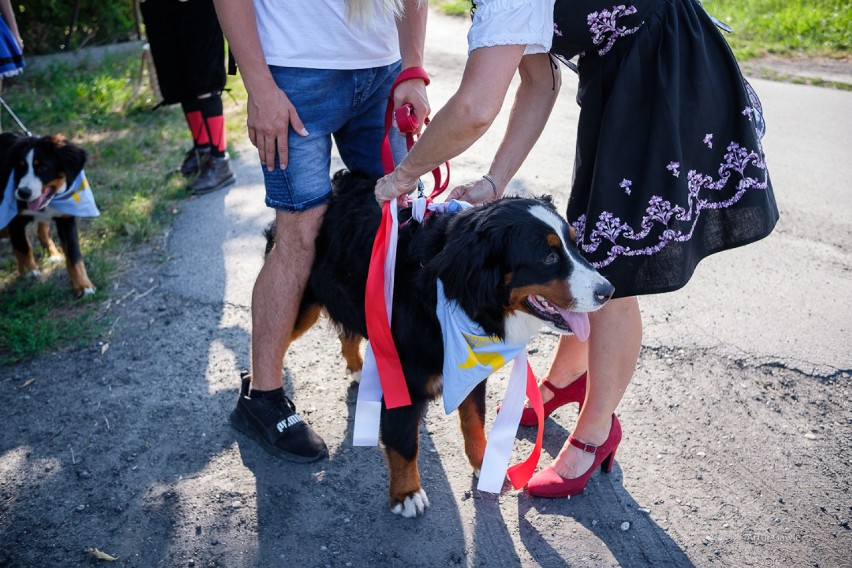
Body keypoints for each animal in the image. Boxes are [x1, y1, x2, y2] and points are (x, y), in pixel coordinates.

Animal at [0, 133, 95, 298]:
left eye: (43, 168)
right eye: (20, 167)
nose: (23, 193)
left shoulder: (66, 219)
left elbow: (74, 256)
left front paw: (83, 285)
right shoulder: (15, 220)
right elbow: (23, 247)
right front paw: (29, 272)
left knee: (42, 229)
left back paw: (53, 254)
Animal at [266, 169, 612, 516]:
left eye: (575, 245)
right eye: (549, 257)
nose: (607, 291)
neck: (446, 292)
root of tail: (340, 182)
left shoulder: (472, 370)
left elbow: (474, 421)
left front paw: (484, 463)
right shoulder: (405, 375)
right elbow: (404, 441)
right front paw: (406, 493)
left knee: (347, 333)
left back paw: (359, 370)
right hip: (301, 303)